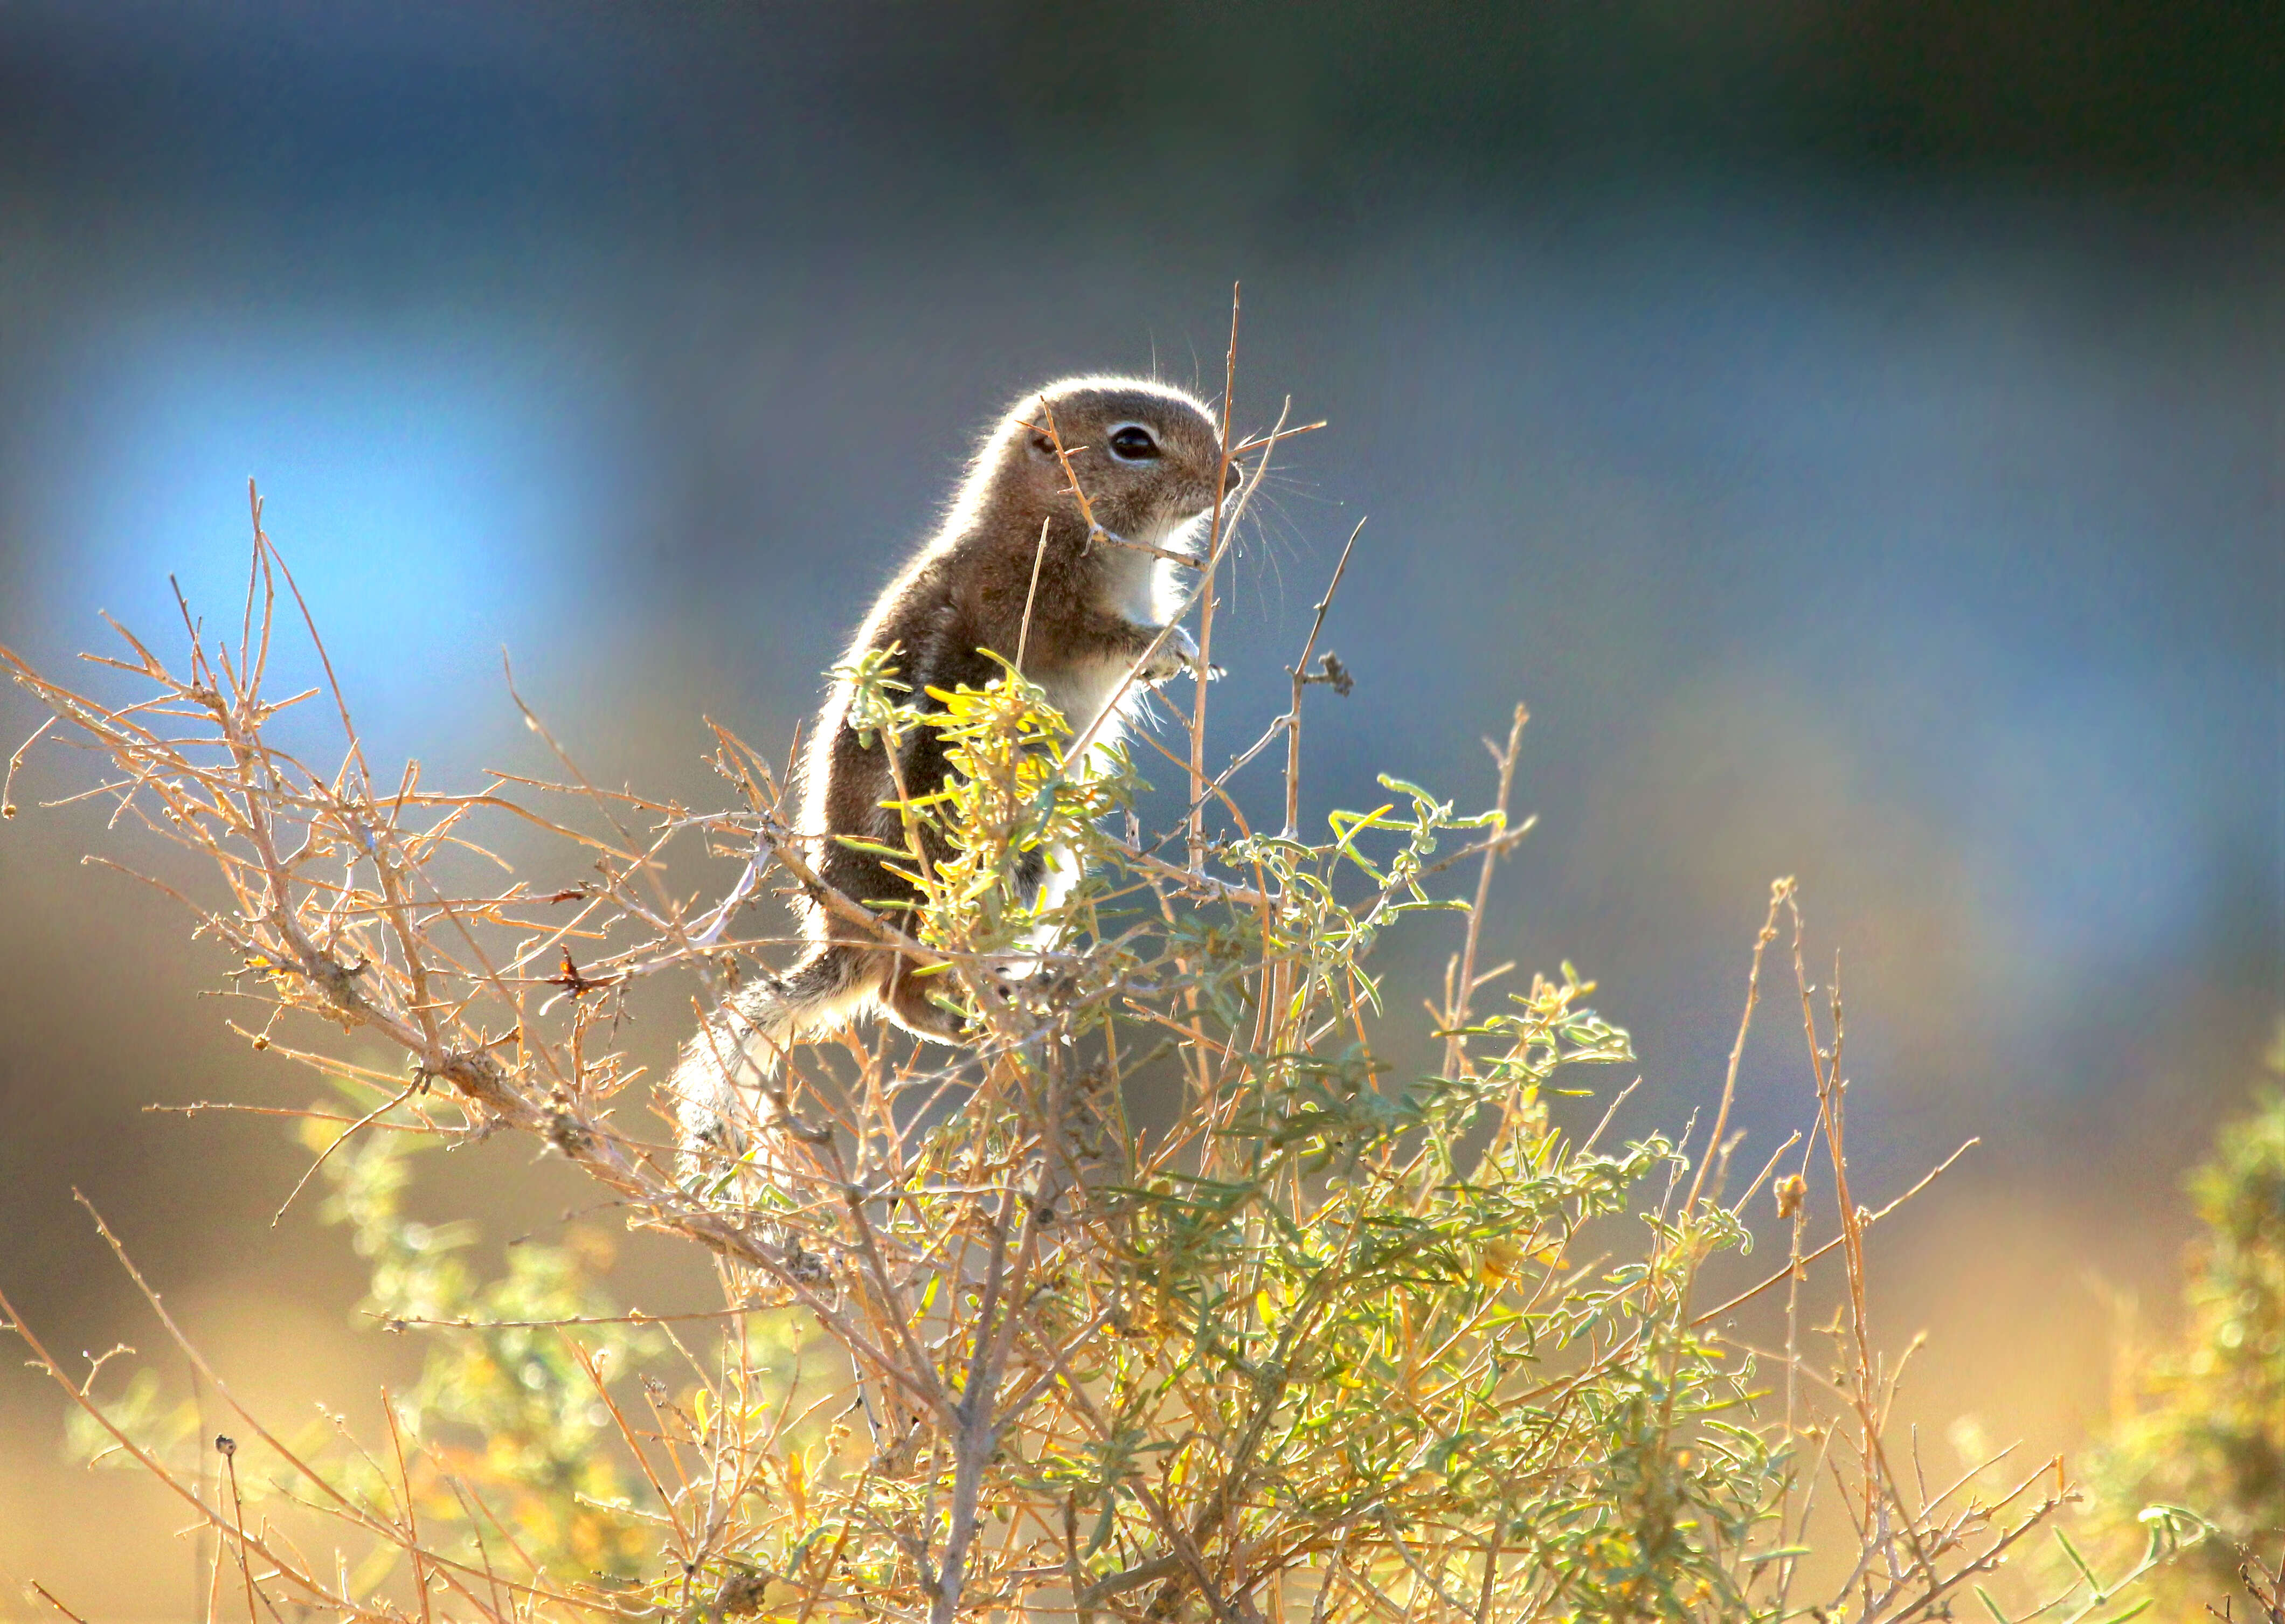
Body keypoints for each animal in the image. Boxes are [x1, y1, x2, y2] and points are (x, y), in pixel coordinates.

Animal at [667, 377, 1243, 1169]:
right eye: (1133, 442)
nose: (1234, 476)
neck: (1045, 519)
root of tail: (851, 940)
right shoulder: (1047, 612)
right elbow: (1105, 638)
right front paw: (1171, 645)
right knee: (903, 992)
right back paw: (979, 1012)